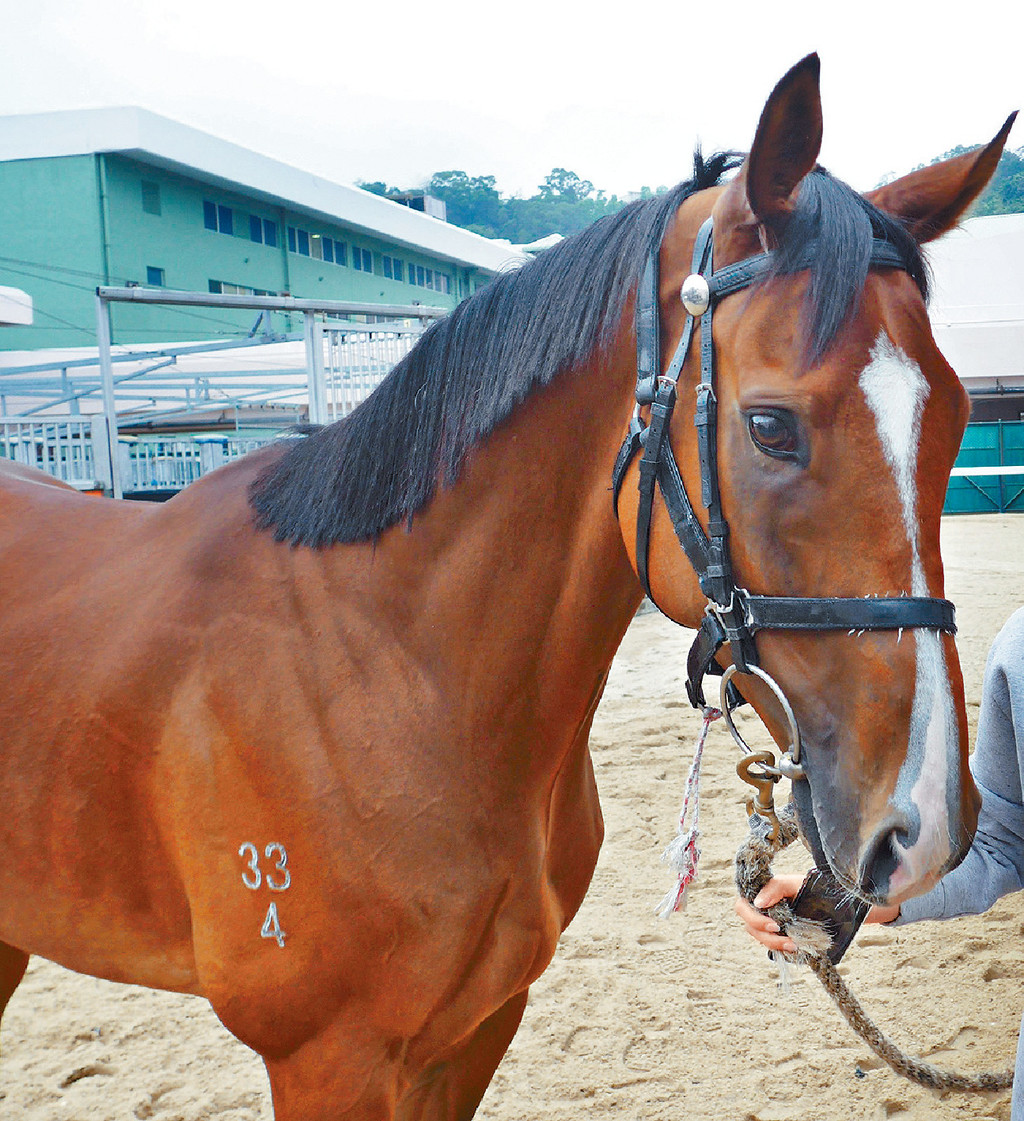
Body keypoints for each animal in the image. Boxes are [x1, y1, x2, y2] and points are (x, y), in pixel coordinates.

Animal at [0, 55, 1014, 1119]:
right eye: (771, 426)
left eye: (956, 416)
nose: (926, 820)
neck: (388, 669)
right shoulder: (329, 1058)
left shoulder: (477, 1026)